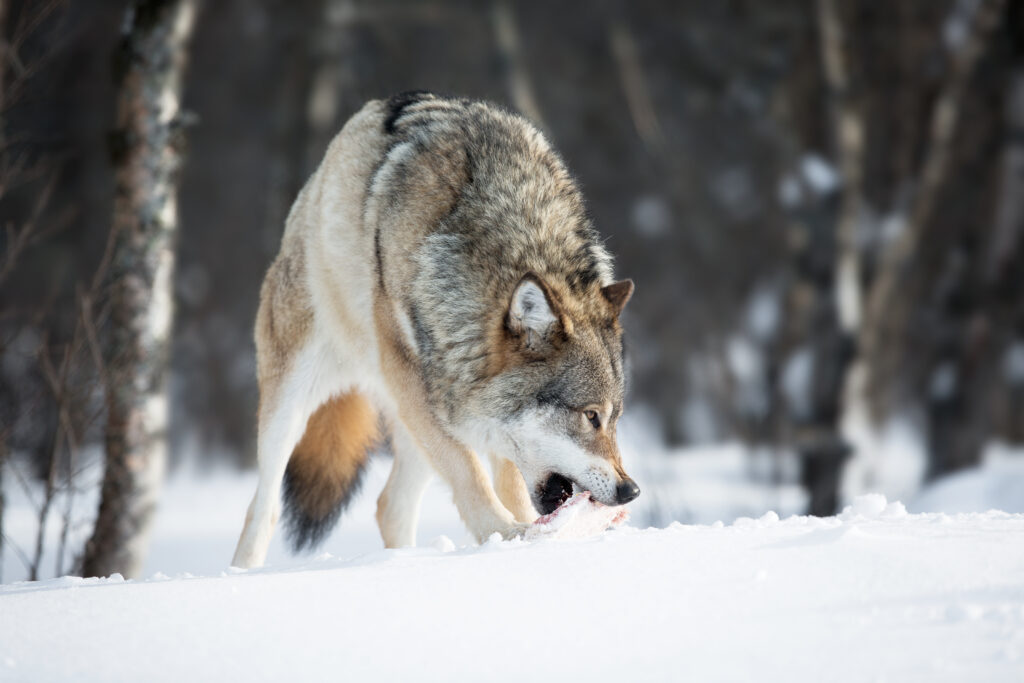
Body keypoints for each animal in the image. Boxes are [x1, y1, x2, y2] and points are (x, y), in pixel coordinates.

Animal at [232, 92, 638, 573]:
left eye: (615, 419)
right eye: (591, 416)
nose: (631, 491)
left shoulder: (469, 409)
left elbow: (508, 478)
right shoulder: (415, 382)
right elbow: (469, 473)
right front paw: (507, 536)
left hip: (416, 422)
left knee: (390, 506)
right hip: (299, 402)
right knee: (264, 508)